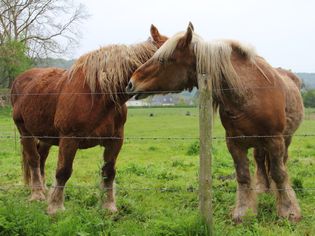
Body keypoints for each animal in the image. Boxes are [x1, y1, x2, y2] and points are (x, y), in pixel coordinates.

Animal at [10, 24, 168, 215]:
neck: (101, 95)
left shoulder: (115, 139)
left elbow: (109, 172)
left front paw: (109, 206)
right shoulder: (69, 139)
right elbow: (63, 171)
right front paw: (55, 206)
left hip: (45, 135)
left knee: (41, 157)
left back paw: (43, 189)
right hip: (25, 131)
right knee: (33, 159)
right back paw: (37, 194)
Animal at [127, 23, 304, 224]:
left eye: (164, 59)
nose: (131, 83)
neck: (249, 94)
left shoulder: (274, 140)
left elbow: (279, 173)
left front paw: (288, 211)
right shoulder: (234, 143)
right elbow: (243, 176)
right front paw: (243, 211)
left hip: (285, 139)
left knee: (281, 163)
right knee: (260, 161)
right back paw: (262, 188)